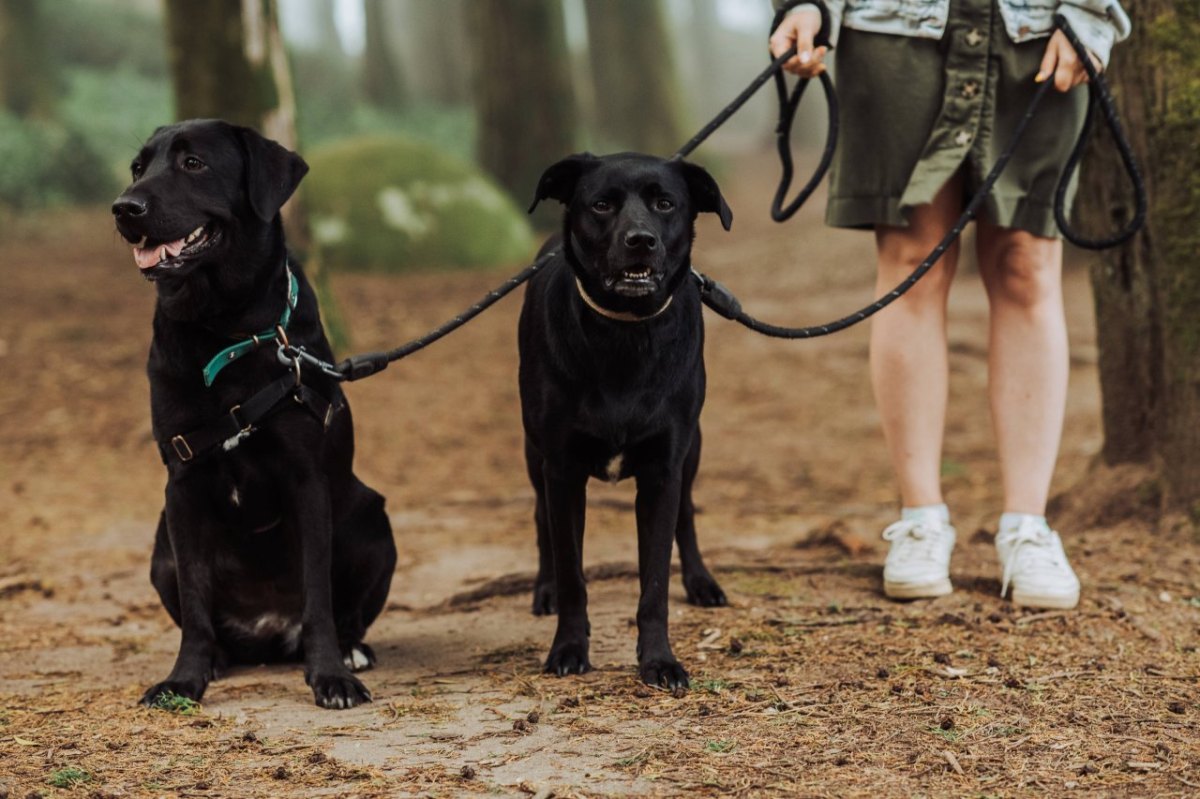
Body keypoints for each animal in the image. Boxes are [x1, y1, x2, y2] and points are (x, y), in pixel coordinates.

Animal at [112, 118, 396, 705]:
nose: (123, 207)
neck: (224, 330)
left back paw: (352, 649)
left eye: (193, 163)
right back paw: (220, 657)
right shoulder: (182, 484)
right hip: (160, 549)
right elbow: (195, 603)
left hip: (373, 520)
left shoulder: (306, 480)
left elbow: (317, 595)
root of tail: (268, 635)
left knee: (344, 612)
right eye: (137, 167)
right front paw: (184, 679)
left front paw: (330, 675)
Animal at [518, 152, 729, 686]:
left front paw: (659, 660)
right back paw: (544, 589)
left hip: (692, 450)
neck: (625, 335)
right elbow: (573, 573)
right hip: (534, 453)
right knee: (541, 517)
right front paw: (568, 648)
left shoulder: (663, 469)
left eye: (665, 203)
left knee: (688, 514)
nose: (641, 240)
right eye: (601, 205)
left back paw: (701, 581)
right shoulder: (562, 470)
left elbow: (654, 582)